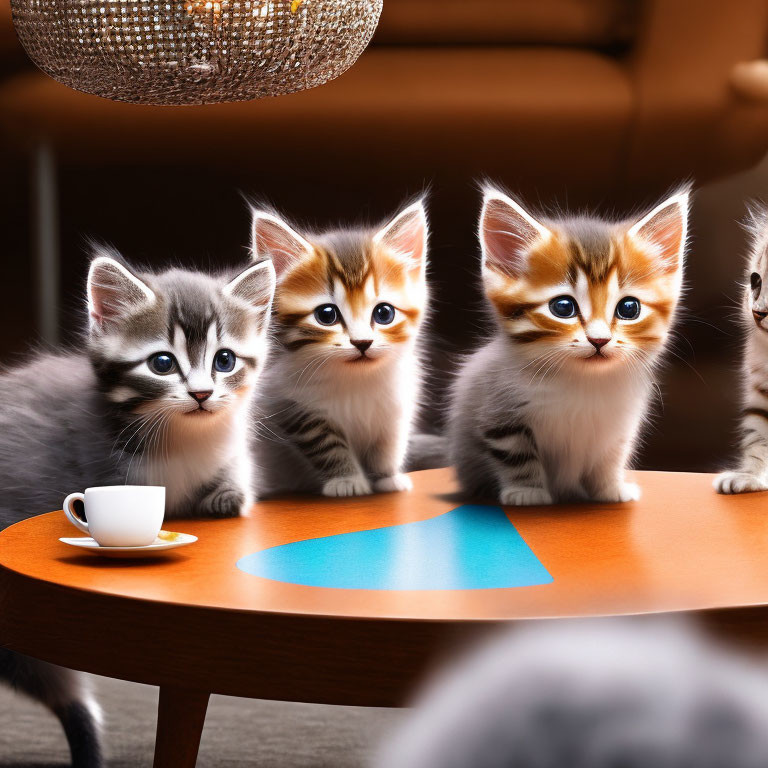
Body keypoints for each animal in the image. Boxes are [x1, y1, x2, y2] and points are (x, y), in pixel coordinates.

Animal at [0, 249, 276, 764]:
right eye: (162, 363)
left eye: (225, 359)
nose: (202, 394)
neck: (186, 438)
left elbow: (234, 480)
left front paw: (226, 494)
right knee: (66, 694)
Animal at [448, 187, 688, 508]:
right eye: (563, 307)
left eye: (629, 308)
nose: (599, 340)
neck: (583, 381)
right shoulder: (499, 413)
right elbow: (517, 455)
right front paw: (527, 491)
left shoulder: (620, 425)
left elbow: (610, 458)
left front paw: (610, 488)